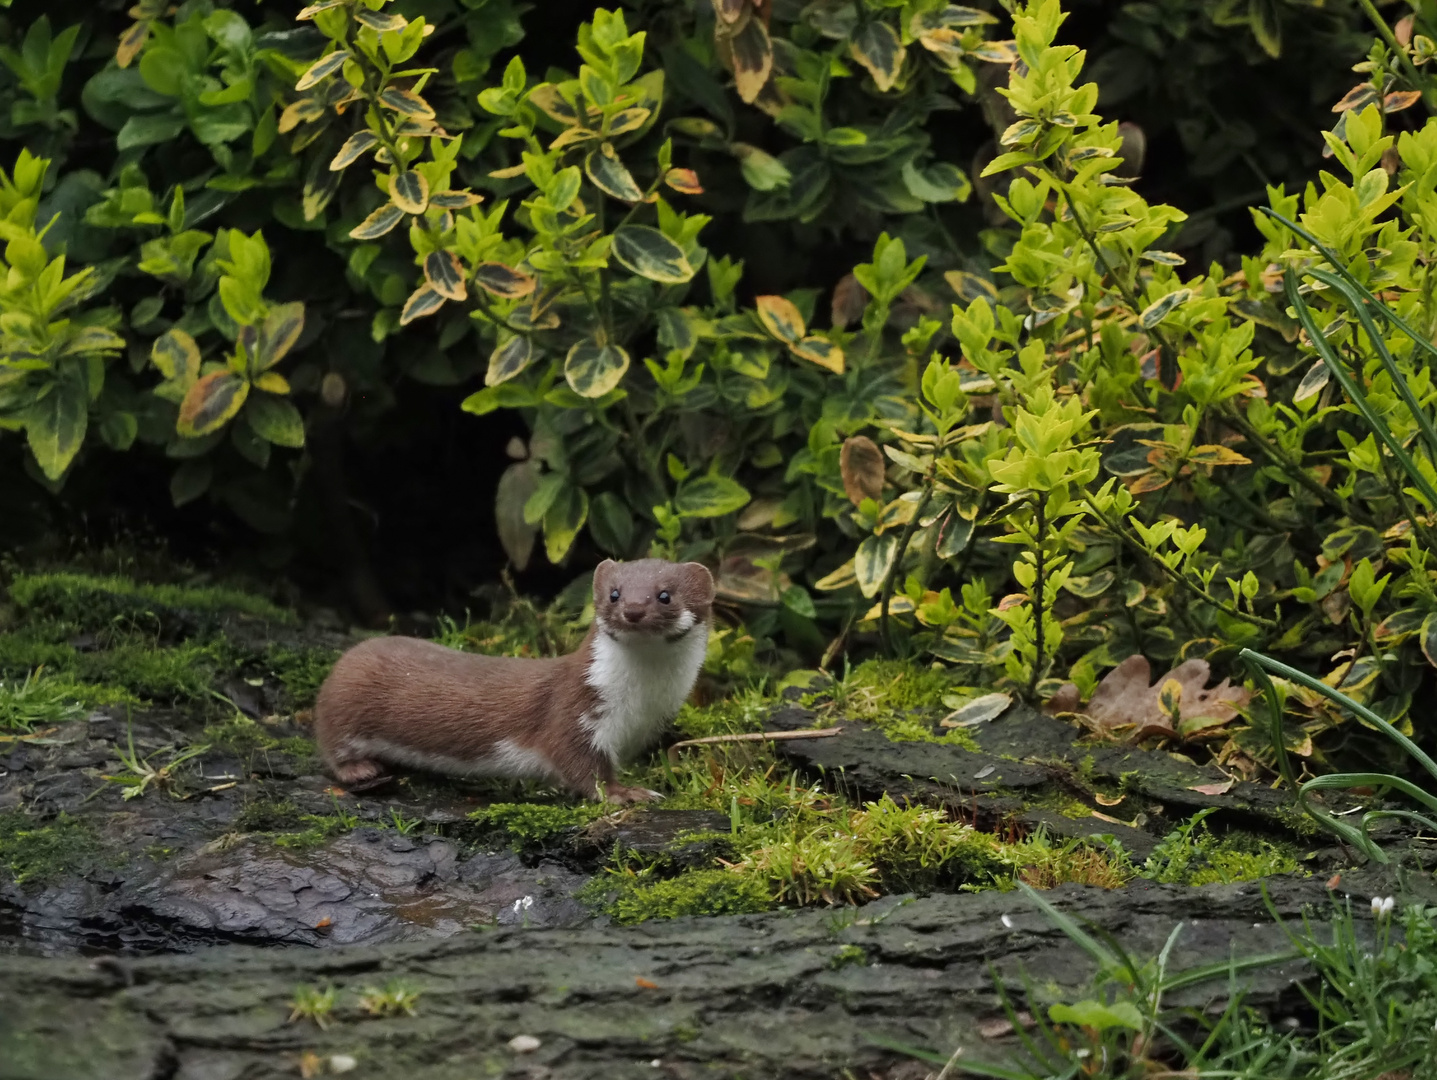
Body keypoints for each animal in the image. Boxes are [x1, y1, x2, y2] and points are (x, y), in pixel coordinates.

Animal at [316, 565, 718, 804]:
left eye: (665, 594)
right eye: (614, 593)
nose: (633, 610)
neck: (641, 702)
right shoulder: (575, 712)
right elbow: (580, 764)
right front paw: (629, 793)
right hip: (344, 706)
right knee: (330, 745)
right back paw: (360, 769)